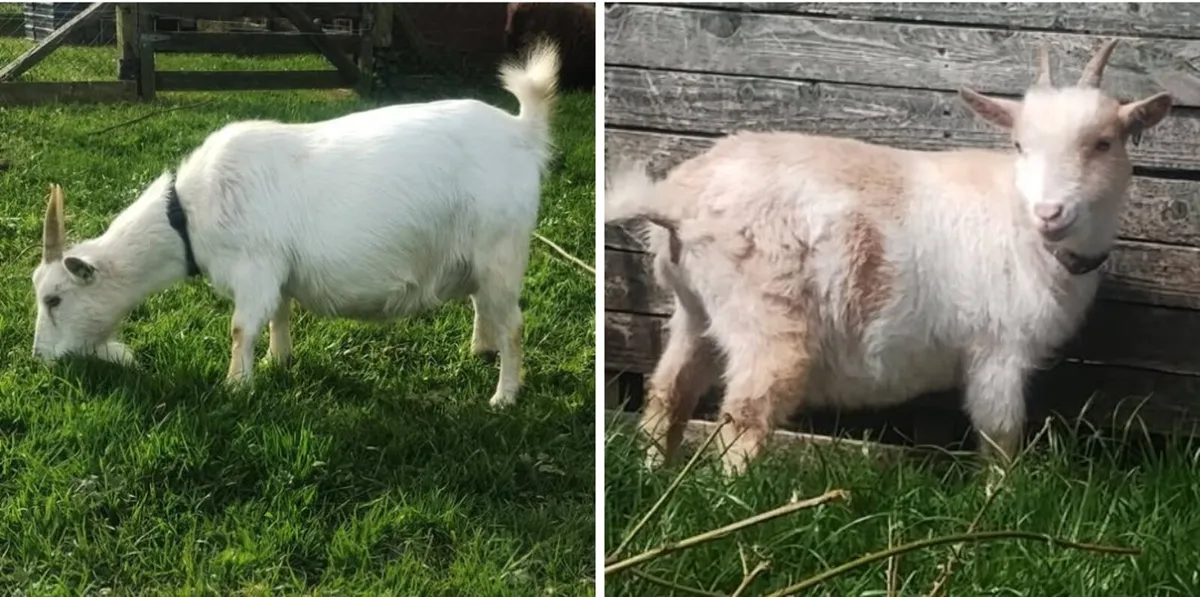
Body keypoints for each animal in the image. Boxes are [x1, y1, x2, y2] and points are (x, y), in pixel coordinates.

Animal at [31, 41, 560, 407]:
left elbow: (241, 328)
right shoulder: (276, 270)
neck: (188, 214)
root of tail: (523, 132)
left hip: (501, 248)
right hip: (479, 254)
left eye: (54, 298)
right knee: (484, 306)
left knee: (514, 324)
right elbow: (278, 313)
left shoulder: (254, 267)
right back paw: (480, 351)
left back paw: (504, 395)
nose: (38, 358)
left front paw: (235, 386)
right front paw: (277, 361)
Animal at [605, 39, 1173, 474]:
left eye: (1104, 143)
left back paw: (654, 477)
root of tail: (676, 202)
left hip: (694, 310)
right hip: (765, 320)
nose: (1050, 212)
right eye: (1019, 145)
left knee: (667, 394)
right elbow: (1001, 438)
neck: (1019, 223)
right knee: (743, 420)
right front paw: (999, 504)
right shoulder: (998, 349)